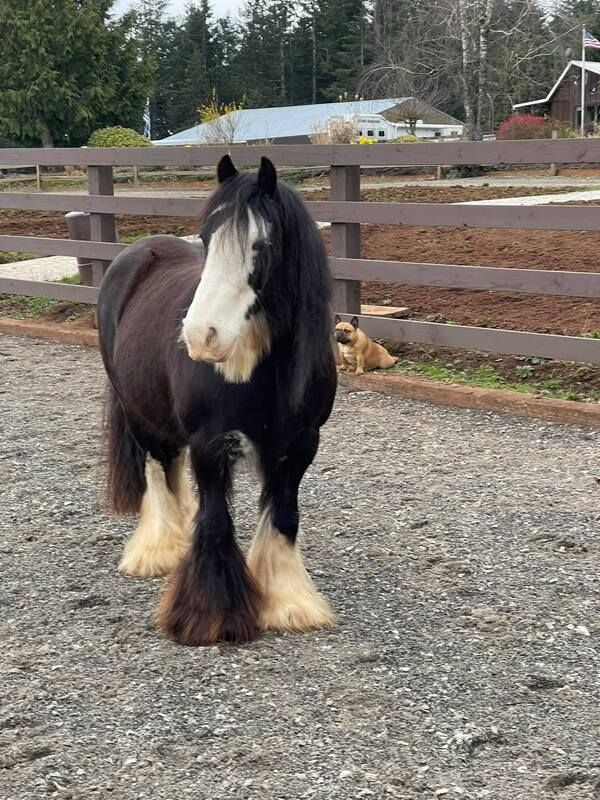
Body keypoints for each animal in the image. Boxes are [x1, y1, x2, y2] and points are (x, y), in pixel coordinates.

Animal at [97, 155, 338, 644]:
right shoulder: (210, 443)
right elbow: (215, 521)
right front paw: (208, 616)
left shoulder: (301, 444)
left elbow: (284, 515)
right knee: (156, 470)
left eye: (261, 245)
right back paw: (158, 549)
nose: (200, 336)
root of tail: (135, 253)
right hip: (137, 411)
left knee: (170, 468)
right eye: (207, 240)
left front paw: (288, 603)